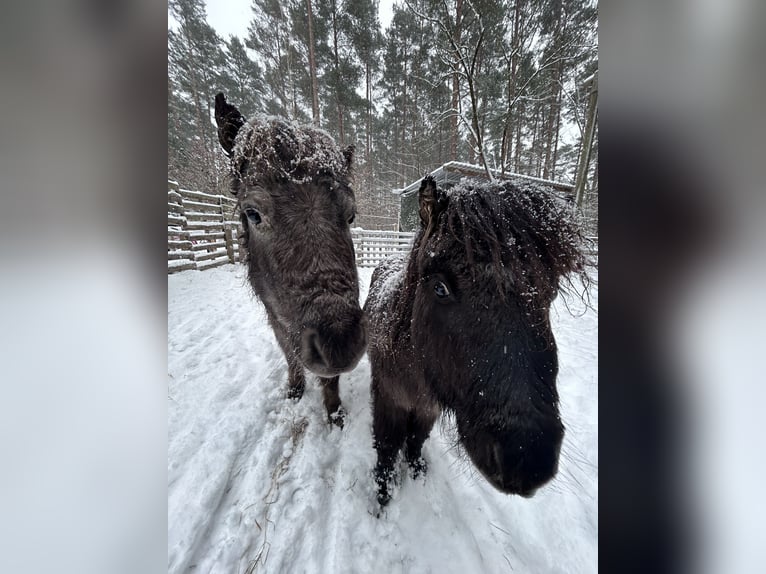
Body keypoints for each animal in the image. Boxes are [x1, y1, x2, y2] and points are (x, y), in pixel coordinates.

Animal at [214, 93, 366, 428]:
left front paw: (335, 414)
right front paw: (295, 389)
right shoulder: (276, 317)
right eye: (253, 213)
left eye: (351, 215)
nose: (339, 343)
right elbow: (290, 355)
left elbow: (329, 379)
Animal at [364, 175, 587, 505]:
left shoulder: (428, 408)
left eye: (552, 291)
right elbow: (387, 448)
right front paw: (382, 495)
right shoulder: (388, 400)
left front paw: (417, 472)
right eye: (440, 288)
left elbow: (416, 439)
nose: (527, 459)